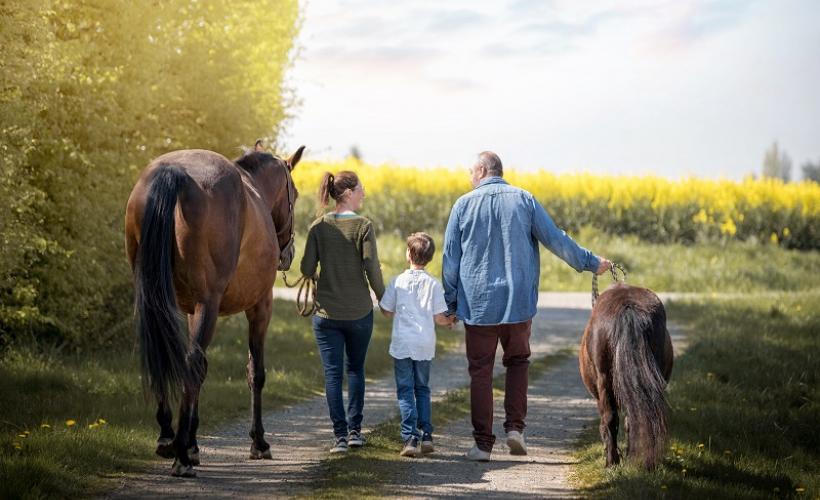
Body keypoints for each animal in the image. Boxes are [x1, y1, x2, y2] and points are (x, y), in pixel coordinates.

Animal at [121, 141, 302, 476]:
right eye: (293, 194)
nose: (288, 253)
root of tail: (174, 173)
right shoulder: (260, 305)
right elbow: (255, 372)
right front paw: (258, 443)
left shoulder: (192, 310)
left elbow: (203, 370)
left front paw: (193, 443)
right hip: (211, 302)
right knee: (191, 364)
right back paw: (180, 457)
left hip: (157, 299)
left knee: (166, 355)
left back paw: (168, 437)